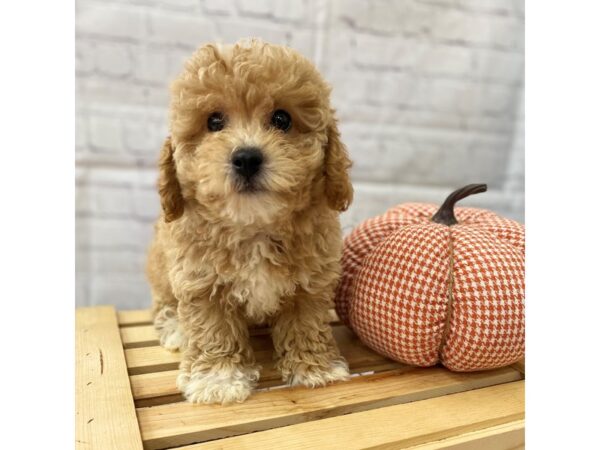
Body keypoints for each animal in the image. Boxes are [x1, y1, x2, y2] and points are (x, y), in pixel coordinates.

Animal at [148, 39, 354, 404]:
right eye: (214, 121)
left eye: (282, 119)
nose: (246, 158)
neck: (254, 226)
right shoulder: (199, 282)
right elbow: (212, 330)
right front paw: (216, 380)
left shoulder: (311, 283)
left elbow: (306, 322)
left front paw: (316, 369)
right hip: (161, 270)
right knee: (164, 304)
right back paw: (175, 328)